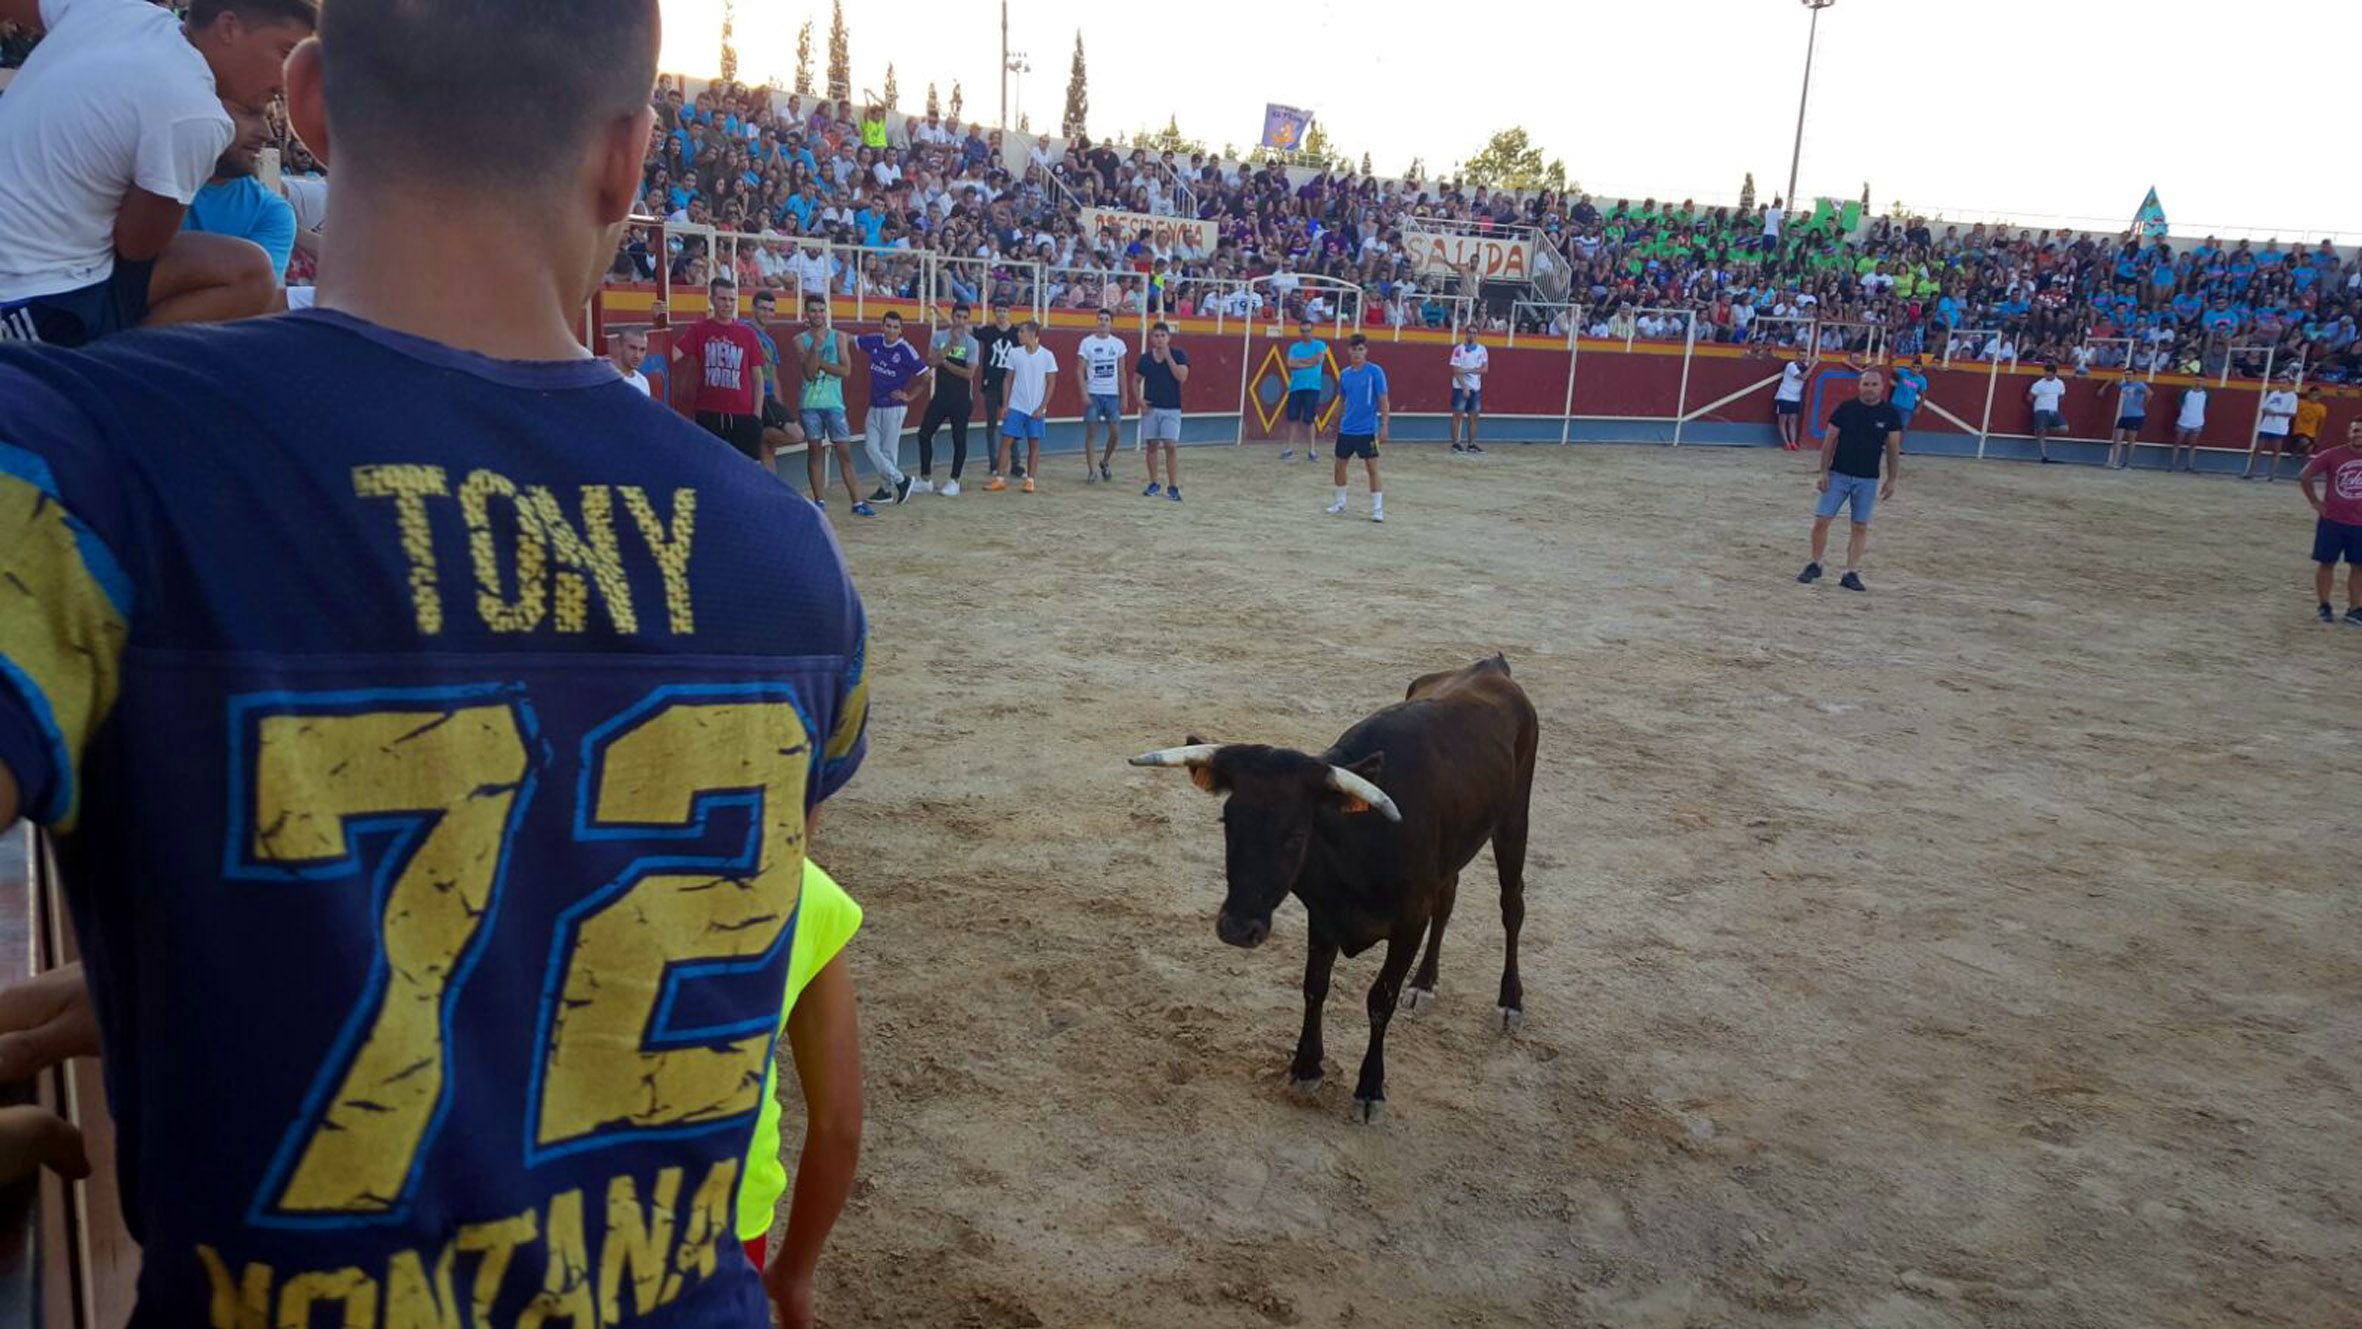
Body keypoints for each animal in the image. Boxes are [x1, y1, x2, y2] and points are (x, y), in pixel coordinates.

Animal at [1133, 656, 1540, 1123]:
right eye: (1227, 822)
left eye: (1296, 834)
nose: (1236, 929)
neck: (1357, 842)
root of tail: (1491, 666)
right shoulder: (1324, 915)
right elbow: (1315, 986)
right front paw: (1306, 1066)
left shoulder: (1409, 922)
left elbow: (1380, 998)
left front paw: (1370, 1087)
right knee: (1449, 899)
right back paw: (1425, 983)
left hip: (1514, 819)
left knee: (1512, 904)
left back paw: (1510, 1000)